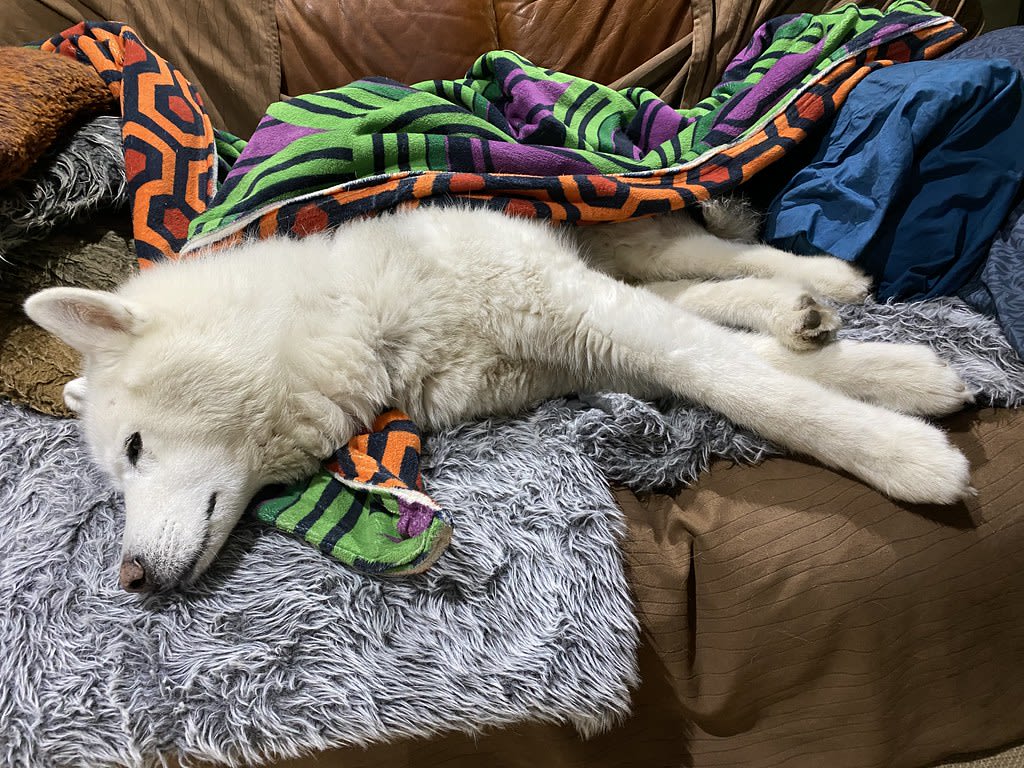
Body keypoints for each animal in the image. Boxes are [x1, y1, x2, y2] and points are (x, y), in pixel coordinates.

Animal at [25, 205, 974, 592]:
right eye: (119, 471)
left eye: (135, 451)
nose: (130, 580)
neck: (368, 313)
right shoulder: (590, 341)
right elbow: (734, 358)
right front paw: (906, 379)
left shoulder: (584, 311)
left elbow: (742, 380)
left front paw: (903, 455)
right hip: (620, 272)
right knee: (714, 287)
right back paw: (808, 314)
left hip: (631, 249)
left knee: (725, 256)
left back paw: (829, 279)